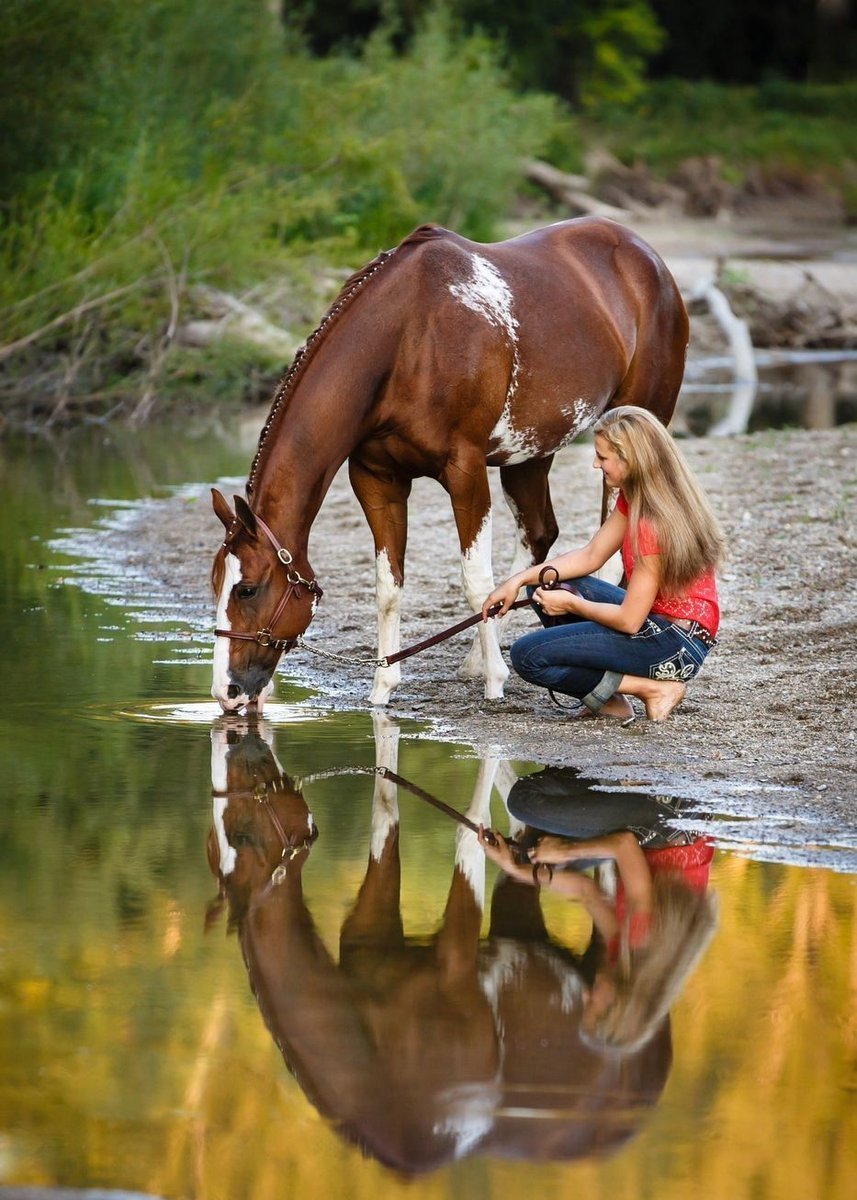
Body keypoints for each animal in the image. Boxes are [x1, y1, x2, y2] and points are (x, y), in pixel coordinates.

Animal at [211, 216, 689, 713]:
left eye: (247, 589)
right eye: (215, 584)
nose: (227, 691)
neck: (407, 340)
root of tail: (645, 256)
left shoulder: (465, 471)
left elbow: (476, 581)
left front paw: (496, 682)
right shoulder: (377, 479)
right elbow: (389, 586)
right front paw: (384, 685)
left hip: (627, 432)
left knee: (608, 557)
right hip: (529, 454)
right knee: (539, 537)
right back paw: (476, 658)